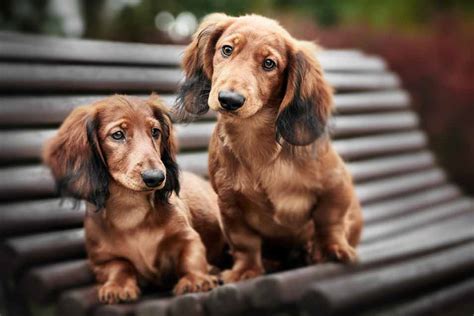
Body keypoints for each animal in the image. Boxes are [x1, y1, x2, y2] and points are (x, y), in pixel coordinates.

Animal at [43, 94, 226, 304]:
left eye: (155, 131)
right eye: (117, 135)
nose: (156, 177)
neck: (131, 211)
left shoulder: (186, 236)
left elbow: (191, 256)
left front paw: (195, 279)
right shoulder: (102, 259)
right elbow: (119, 267)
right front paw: (118, 286)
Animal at [175, 13, 362, 282]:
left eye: (269, 64)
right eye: (227, 49)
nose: (229, 100)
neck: (257, 143)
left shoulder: (336, 185)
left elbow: (330, 221)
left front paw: (331, 248)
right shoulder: (230, 207)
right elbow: (245, 243)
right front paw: (246, 269)